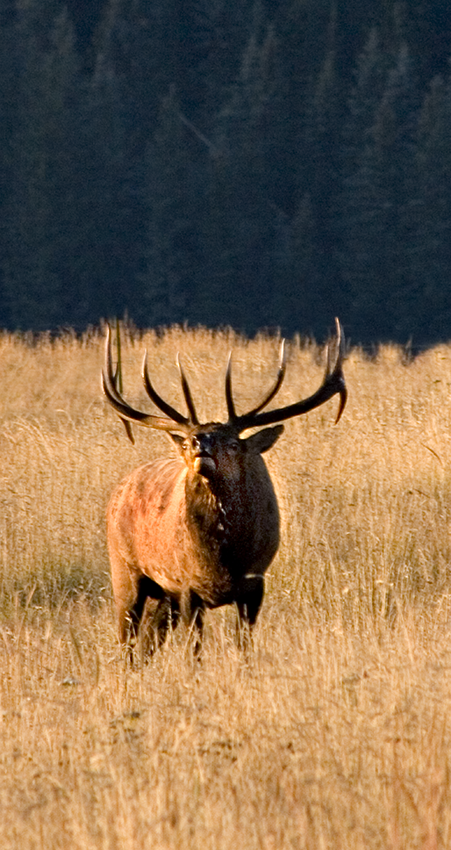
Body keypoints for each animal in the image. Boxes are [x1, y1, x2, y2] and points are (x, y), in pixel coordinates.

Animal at [102, 320, 348, 656]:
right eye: (189, 441)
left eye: (232, 443)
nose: (197, 442)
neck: (222, 562)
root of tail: (119, 487)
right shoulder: (188, 584)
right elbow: (194, 650)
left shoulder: (255, 583)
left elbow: (244, 645)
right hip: (125, 569)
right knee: (127, 640)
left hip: (162, 592)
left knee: (148, 642)